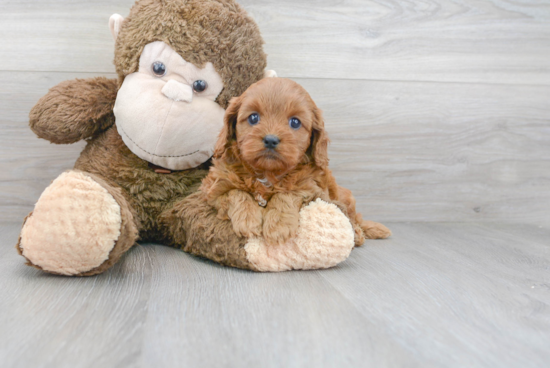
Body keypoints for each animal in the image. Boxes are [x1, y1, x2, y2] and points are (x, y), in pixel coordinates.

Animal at [203, 77, 392, 244]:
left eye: (295, 122)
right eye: (253, 118)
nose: (271, 140)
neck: (267, 174)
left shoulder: (314, 190)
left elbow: (287, 193)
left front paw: (278, 225)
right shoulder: (212, 189)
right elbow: (235, 192)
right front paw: (248, 220)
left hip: (345, 197)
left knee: (354, 217)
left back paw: (361, 232)